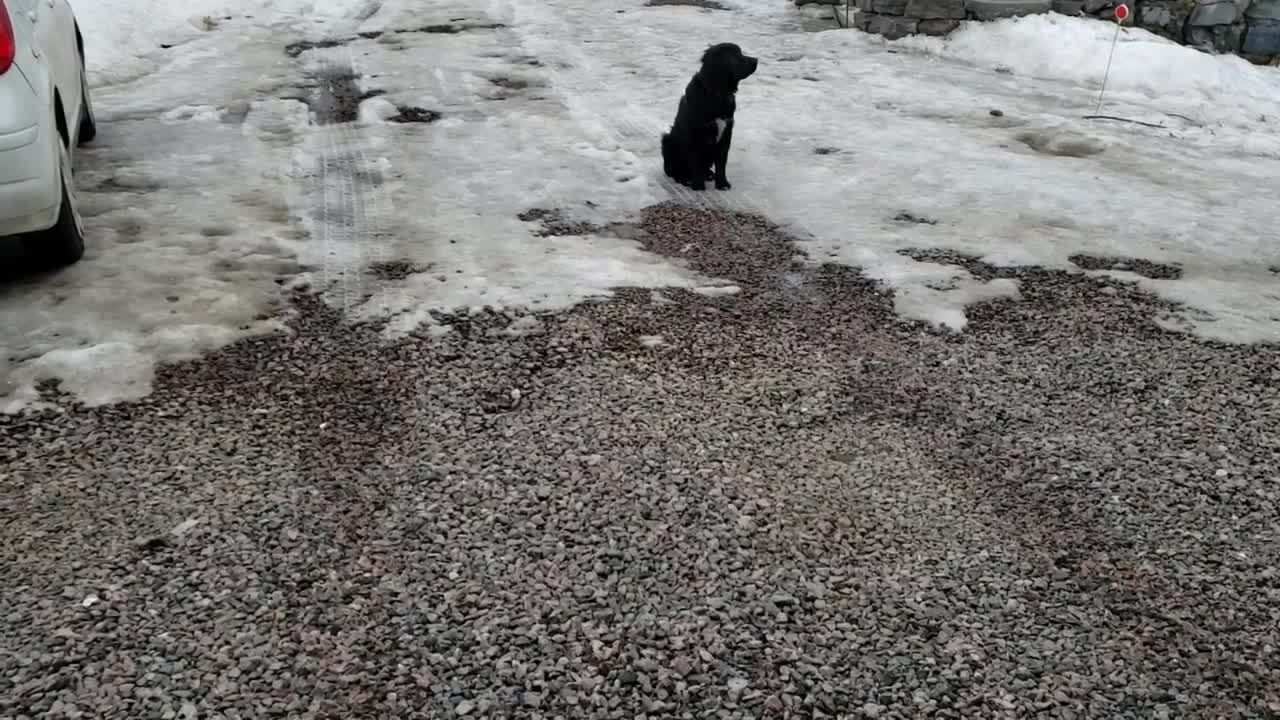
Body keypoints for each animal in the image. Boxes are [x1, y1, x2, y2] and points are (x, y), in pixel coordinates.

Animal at [665, 42, 752, 190]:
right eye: (735, 56)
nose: (756, 60)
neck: (717, 93)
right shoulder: (695, 134)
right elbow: (696, 161)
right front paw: (698, 185)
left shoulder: (726, 132)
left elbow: (721, 163)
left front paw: (722, 184)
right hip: (667, 140)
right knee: (673, 170)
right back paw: (685, 179)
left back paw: (709, 175)